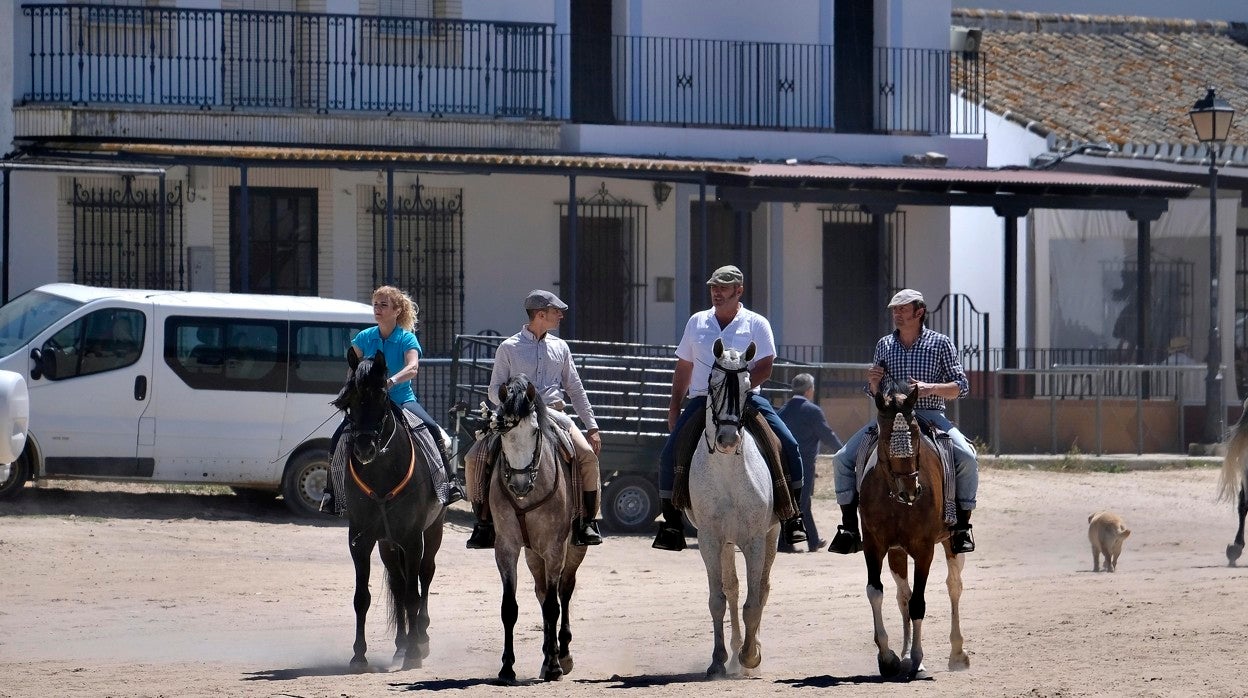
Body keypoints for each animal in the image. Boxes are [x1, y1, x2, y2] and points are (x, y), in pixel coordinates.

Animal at [334, 349, 446, 674]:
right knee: (397, 584)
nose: (364, 448)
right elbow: (363, 597)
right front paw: (359, 656)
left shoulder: (412, 539)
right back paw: (401, 645)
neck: (382, 472)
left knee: (424, 576)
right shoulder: (360, 539)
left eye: (382, 394)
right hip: (387, 543)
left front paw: (415, 654)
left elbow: (413, 595)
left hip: (432, 532)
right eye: (349, 399)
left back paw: (420, 639)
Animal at [486, 377, 584, 684]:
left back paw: (563, 655)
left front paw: (554, 666)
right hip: (533, 555)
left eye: (535, 431)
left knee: (564, 591)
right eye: (503, 433)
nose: (519, 484)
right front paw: (507, 668)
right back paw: (546, 654)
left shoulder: (554, 549)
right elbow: (509, 608)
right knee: (542, 594)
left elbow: (554, 606)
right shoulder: (506, 548)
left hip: (573, 551)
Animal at [678, 339, 773, 679]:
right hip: (726, 543)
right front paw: (719, 659)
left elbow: (754, 600)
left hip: (770, 536)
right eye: (714, 383)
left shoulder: (756, 540)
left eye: (747, 385)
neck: (728, 472)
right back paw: (732, 656)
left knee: (762, 589)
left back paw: (748, 651)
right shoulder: (710, 540)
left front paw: (751, 655)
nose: (729, 438)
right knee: (732, 588)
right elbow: (718, 599)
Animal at [858, 384, 973, 679]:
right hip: (897, 553)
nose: (911, 490)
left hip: (951, 543)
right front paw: (888, 658)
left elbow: (919, 603)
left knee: (954, 586)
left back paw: (957, 654)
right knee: (903, 597)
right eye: (885, 437)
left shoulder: (924, 549)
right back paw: (906, 654)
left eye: (915, 433)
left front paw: (919, 661)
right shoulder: (874, 545)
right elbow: (877, 592)